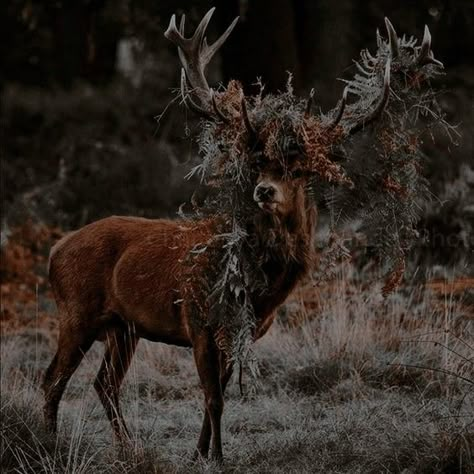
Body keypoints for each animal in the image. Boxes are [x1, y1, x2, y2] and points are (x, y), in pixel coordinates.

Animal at [42, 6, 442, 462]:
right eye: (257, 163)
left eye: (298, 170)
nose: (264, 190)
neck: (260, 288)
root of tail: (55, 250)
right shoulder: (198, 320)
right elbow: (213, 397)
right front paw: (216, 457)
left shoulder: (243, 330)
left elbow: (216, 397)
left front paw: (199, 453)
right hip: (76, 309)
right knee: (54, 378)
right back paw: (50, 444)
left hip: (123, 326)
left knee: (104, 382)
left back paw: (128, 446)